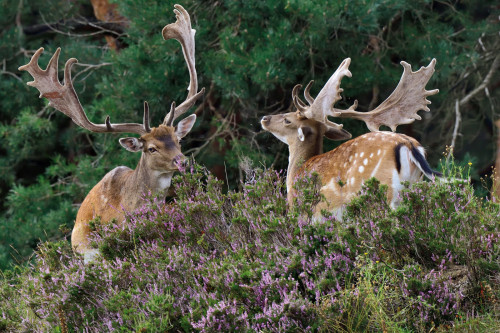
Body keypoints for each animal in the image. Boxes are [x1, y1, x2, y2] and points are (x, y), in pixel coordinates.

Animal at [262, 57, 442, 215]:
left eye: (287, 119)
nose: (265, 118)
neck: (296, 173)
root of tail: (409, 145)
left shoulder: (305, 211)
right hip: (414, 187)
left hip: (379, 191)